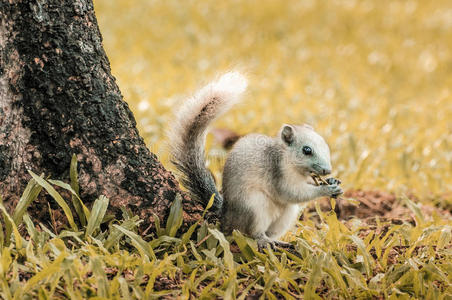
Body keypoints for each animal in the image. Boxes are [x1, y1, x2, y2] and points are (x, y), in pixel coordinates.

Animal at [169, 72, 342, 248]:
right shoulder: (278, 174)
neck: (290, 162)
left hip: (287, 214)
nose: (327, 170)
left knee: (272, 231)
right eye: (306, 150)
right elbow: (290, 192)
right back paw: (262, 240)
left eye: (326, 146)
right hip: (254, 207)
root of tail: (226, 218)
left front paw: (333, 181)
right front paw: (325, 189)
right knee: (252, 232)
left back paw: (278, 241)